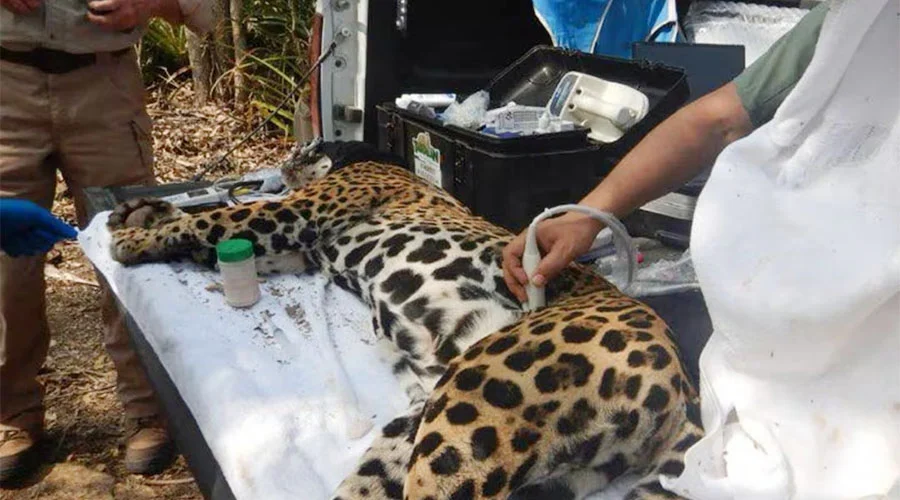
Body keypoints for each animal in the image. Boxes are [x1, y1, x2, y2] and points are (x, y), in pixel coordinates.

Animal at [105, 140, 703, 500]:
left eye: (302, 146)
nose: (283, 164)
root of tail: (683, 385)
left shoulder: (296, 215)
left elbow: (214, 218)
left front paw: (131, 238)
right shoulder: (294, 252)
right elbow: (208, 227)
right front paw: (141, 214)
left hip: (474, 406)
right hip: (433, 437)